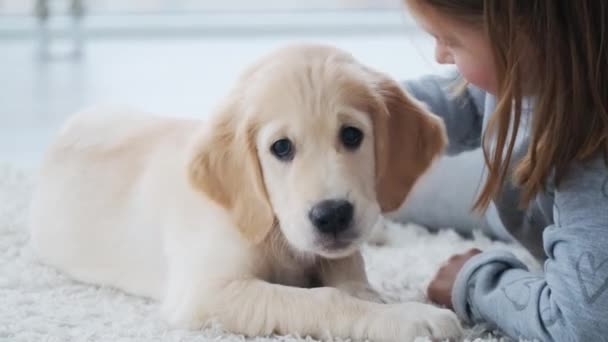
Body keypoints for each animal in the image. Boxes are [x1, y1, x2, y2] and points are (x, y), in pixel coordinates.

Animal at [28, 44, 464, 340]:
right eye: (281, 148)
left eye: (352, 135)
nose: (332, 215)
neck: (275, 231)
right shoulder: (205, 293)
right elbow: (324, 299)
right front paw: (410, 317)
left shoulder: (340, 254)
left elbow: (353, 284)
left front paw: (384, 305)